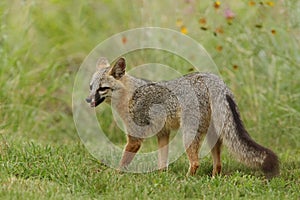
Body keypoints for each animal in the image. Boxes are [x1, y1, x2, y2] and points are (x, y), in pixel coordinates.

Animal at [86, 57, 278, 179]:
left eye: (102, 88)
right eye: (90, 87)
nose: (88, 100)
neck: (130, 96)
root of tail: (212, 78)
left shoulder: (135, 139)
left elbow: (123, 162)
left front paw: (114, 175)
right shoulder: (163, 133)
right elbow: (162, 161)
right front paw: (161, 178)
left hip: (188, 136)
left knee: (195, 163)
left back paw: (187, 180)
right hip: (212, 136)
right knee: (218, 164)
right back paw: (213, 179)